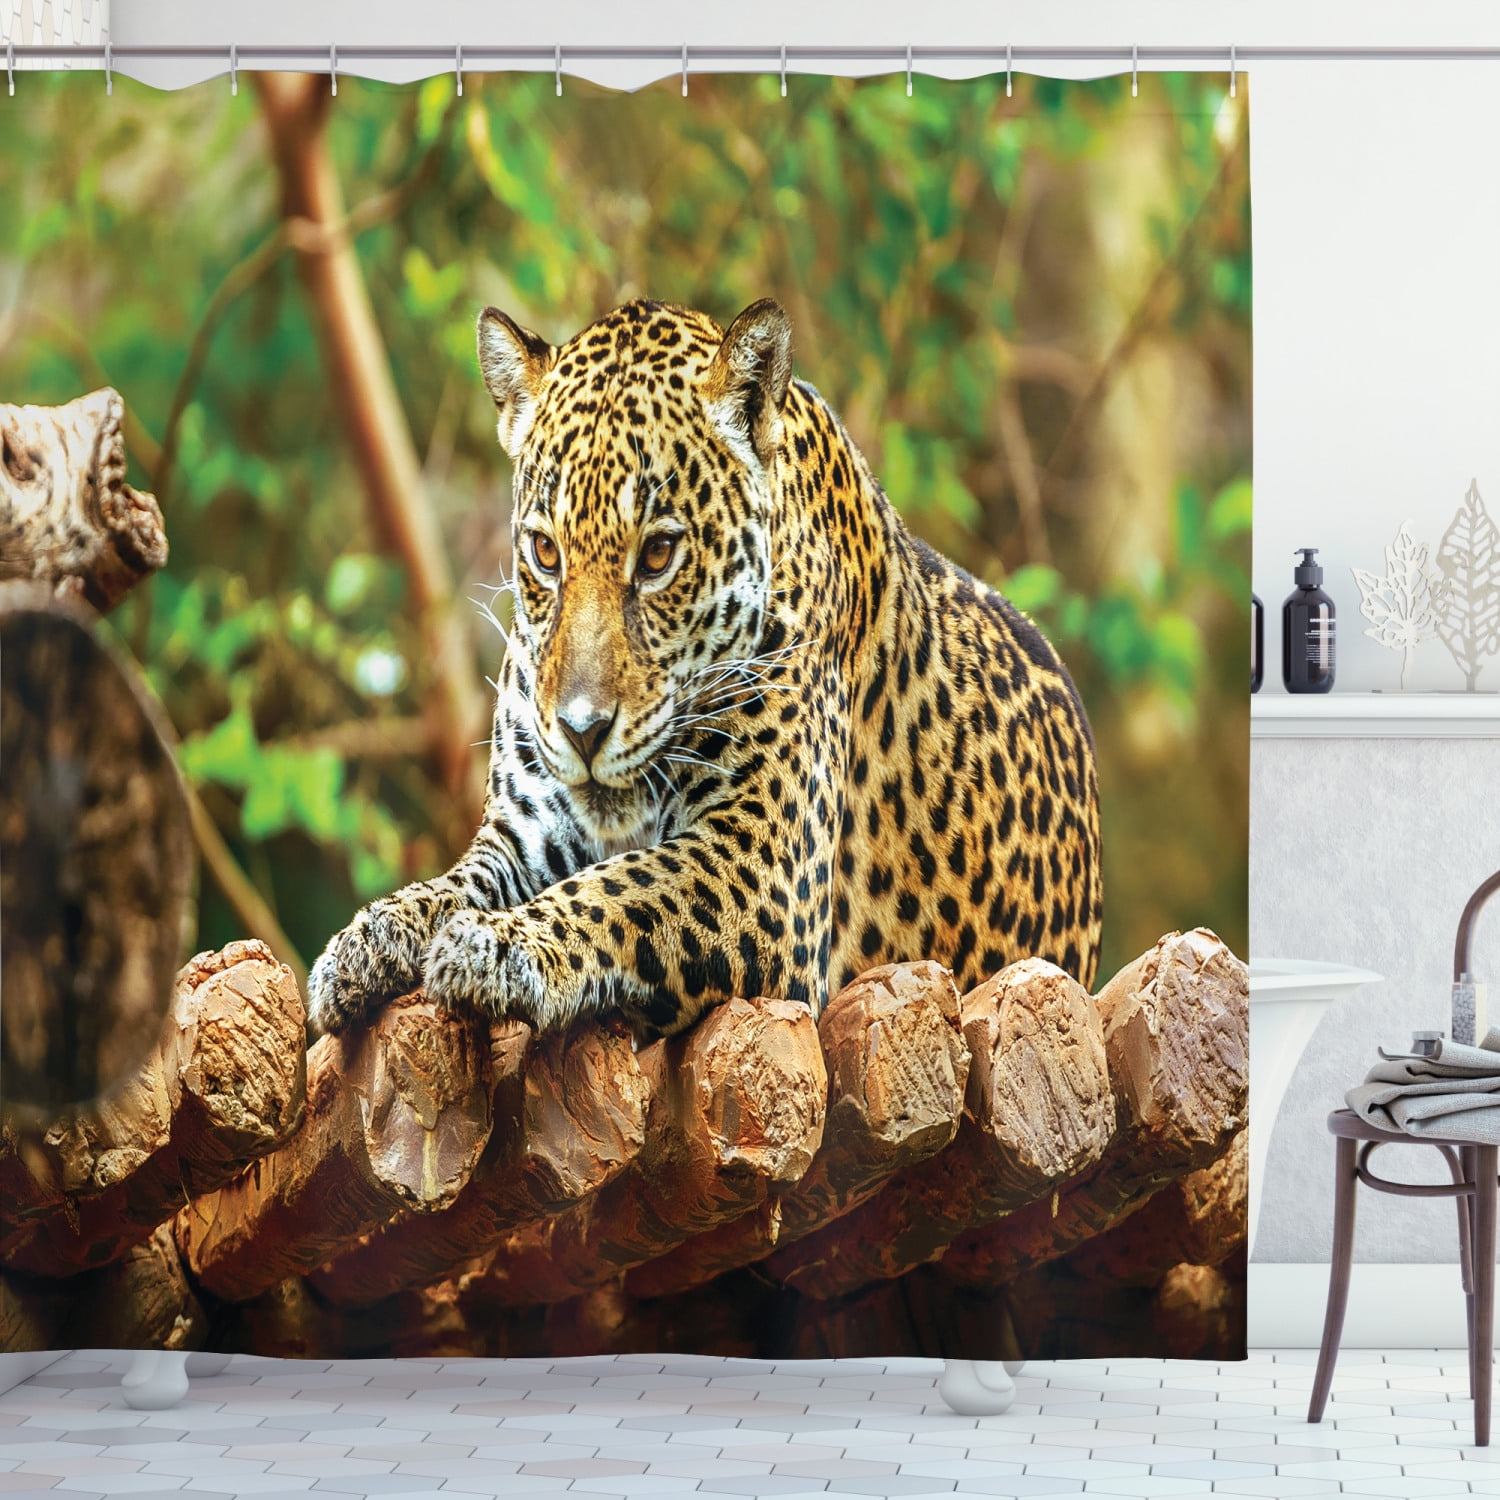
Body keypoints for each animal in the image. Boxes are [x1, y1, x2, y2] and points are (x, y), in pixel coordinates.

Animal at [307, 297, 1102, 1043]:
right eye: (544, 552)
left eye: (659, 555)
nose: (582, 730)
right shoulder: (525, 835)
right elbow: (455, 883)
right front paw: (365, 940)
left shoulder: (762, 863)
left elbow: (620, 887)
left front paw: (498, 945)